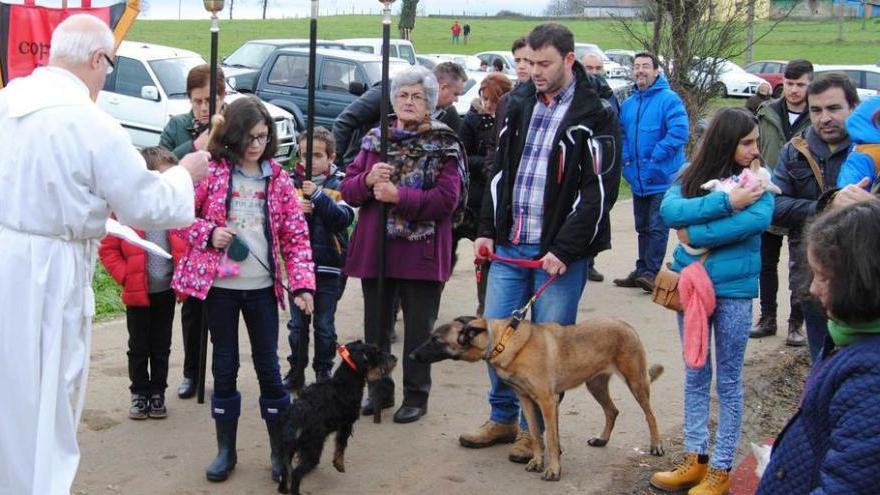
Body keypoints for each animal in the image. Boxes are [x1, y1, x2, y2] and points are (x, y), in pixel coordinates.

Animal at [276, 340, 398, 495]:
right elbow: (341, 445)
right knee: (297, 474)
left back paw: (283, 489)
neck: (344, 383)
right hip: (313, 449)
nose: (395, 358)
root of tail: (296, 416)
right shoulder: (346, 424)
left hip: (288, 448)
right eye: (376, 352)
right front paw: (339, 465)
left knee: (284, 469)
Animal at [410, 316, 664, 482]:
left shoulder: (547, 401)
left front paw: (553, 470)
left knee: (650, 415)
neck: (502, 341)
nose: (411, 356)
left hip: (636, 383)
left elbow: (550, 438)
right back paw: (602, 439)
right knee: (612, 411)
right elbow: (534, 433)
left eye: (436, 340)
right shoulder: (526, 399)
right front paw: (536, 461)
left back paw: (656, 446)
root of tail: (626, 325)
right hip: (596, 384)